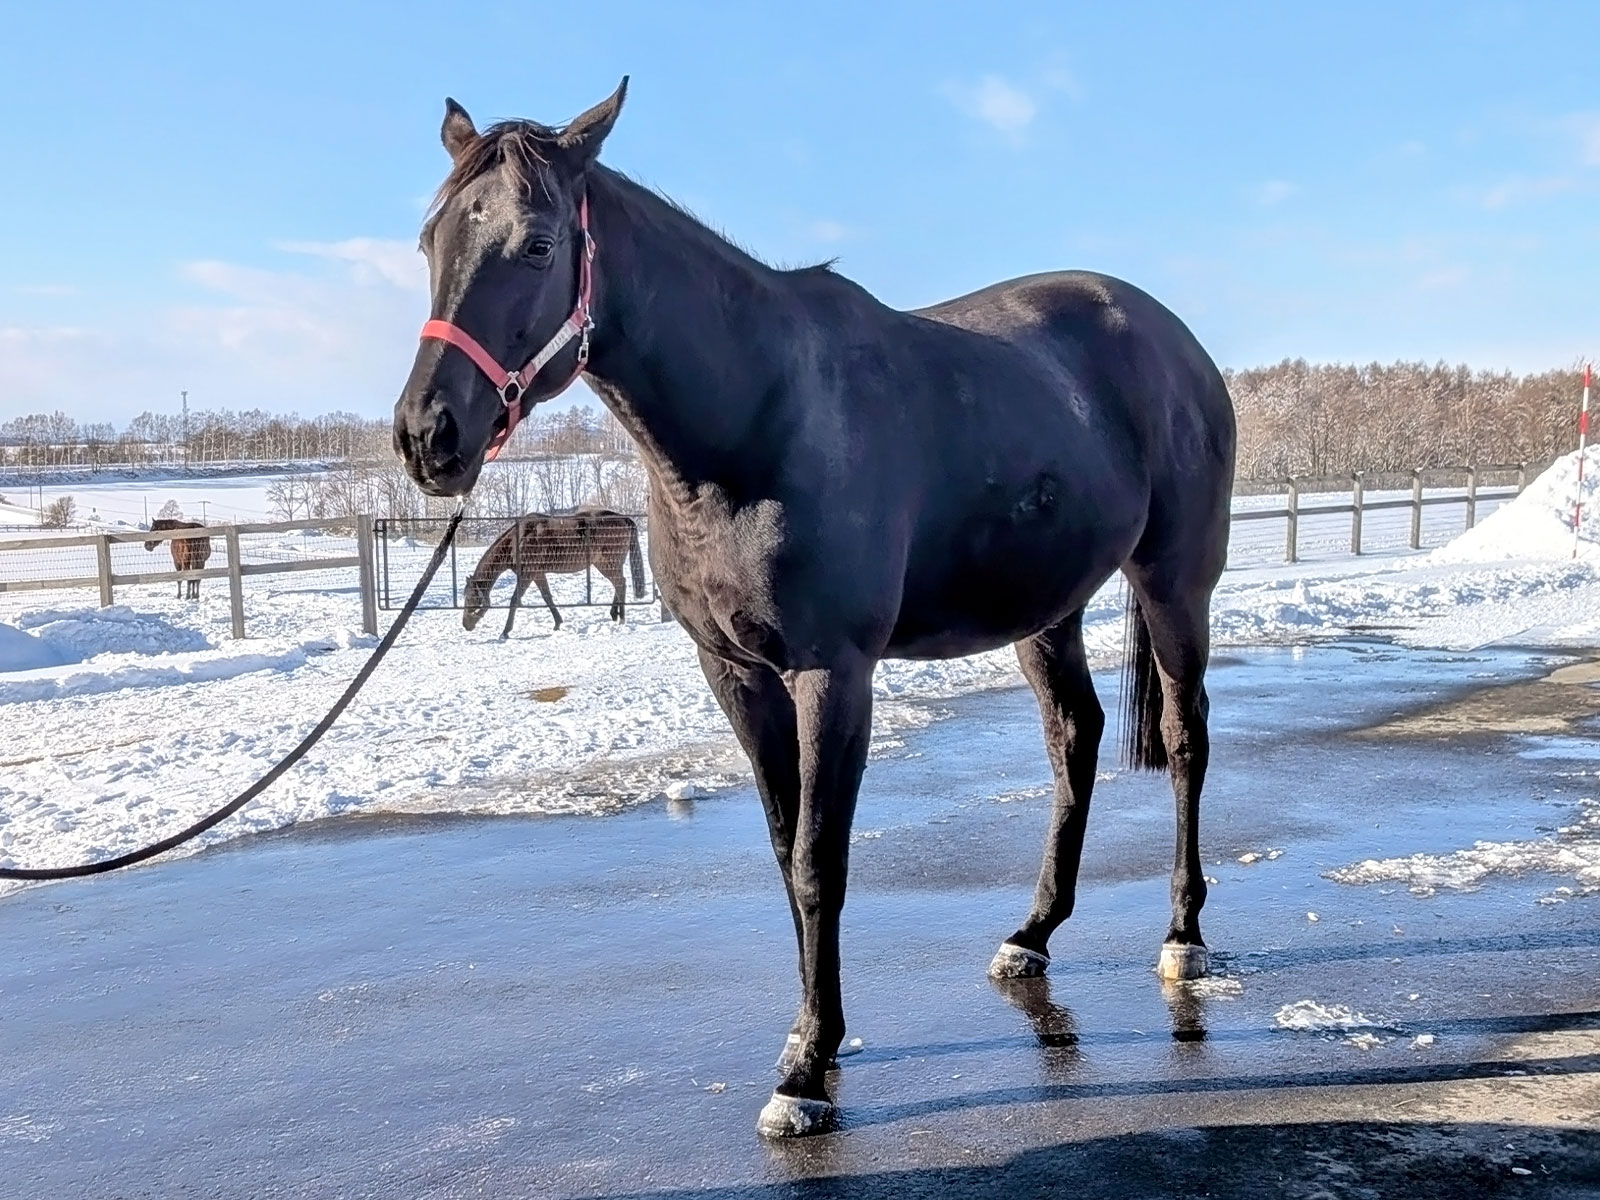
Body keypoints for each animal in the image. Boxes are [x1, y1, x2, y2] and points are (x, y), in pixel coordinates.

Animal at [463, 507, 646, 636]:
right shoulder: (537, 574)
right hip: (606, 564)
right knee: (618, 584)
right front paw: (558, 623)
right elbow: (547, 597)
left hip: (608, 563)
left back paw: (621, 619)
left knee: (620, 584)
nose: (466, 624)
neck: (517, 540)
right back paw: (614, 614)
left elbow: (515, 600)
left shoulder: (527, 574)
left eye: (470, 597)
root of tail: (625, 519)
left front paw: (505, 631)